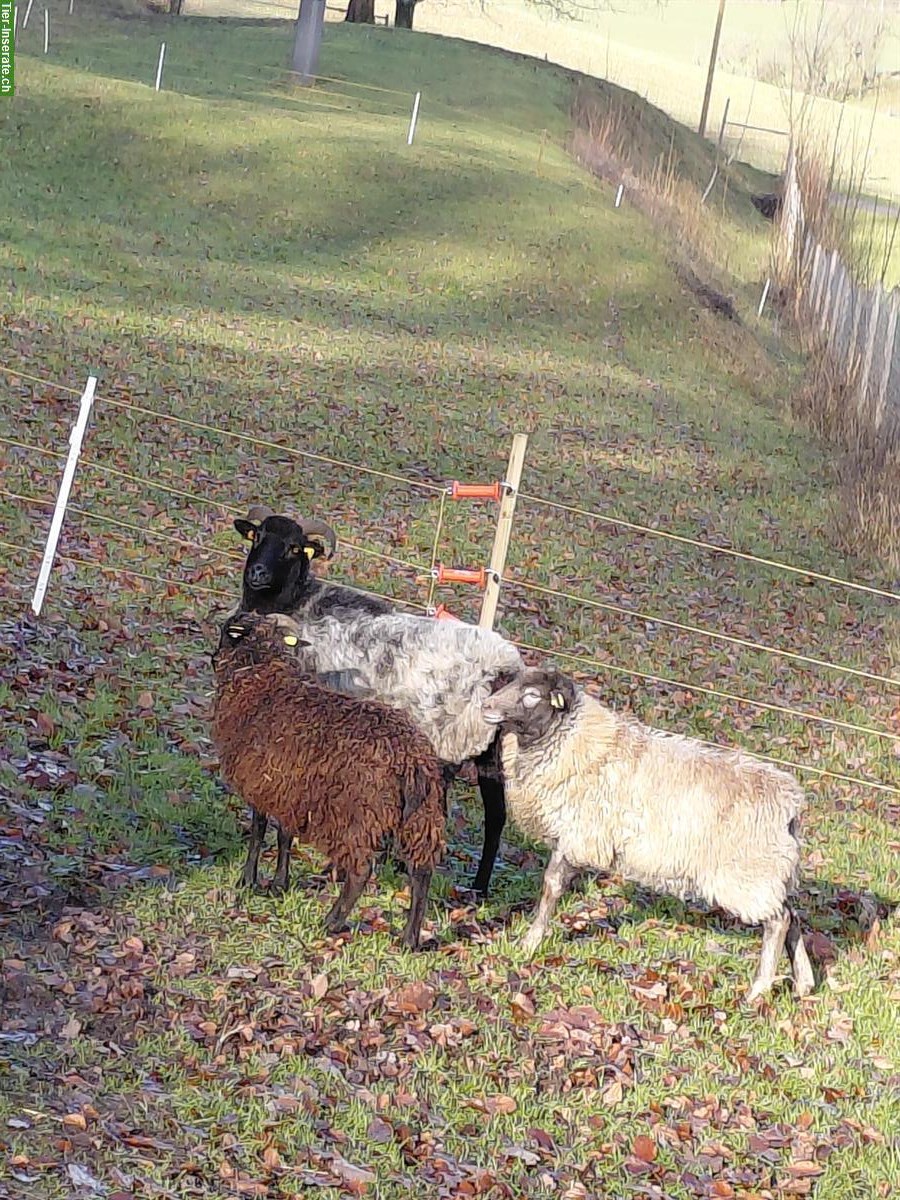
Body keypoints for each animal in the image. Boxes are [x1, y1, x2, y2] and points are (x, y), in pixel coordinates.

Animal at [211, 611, 447, 950]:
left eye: (226, 632)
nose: (212, 658)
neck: (261, 676)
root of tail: (410, 757)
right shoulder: (289, 789)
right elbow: (284, 837)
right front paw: (279, 884)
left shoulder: (260, 786)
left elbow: (258, 833)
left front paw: (247, 881)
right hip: (422, 816)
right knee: (421, 872)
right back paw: (409, 939)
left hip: (358, 816)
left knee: (361, 870)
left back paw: (331, 922)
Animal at [231, 504, 524, 896]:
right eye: (257, 536)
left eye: (293, 548)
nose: (257, 573)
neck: (297, 604)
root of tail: (508, 665)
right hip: (489, 751)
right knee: (496, 816)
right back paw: (475, 887)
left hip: (450, 740)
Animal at [481, 667, 816, 1002]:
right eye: (512, 682)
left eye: (532, 695)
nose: (486, 706)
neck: (570, 740)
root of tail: (790, 805)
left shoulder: (578, 835)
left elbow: (551, 886)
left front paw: (529, 943)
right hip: (768, 873)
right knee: (791, 915)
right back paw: (804, 983)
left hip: (748, 875)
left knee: (779, 921)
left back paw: (758, 990)